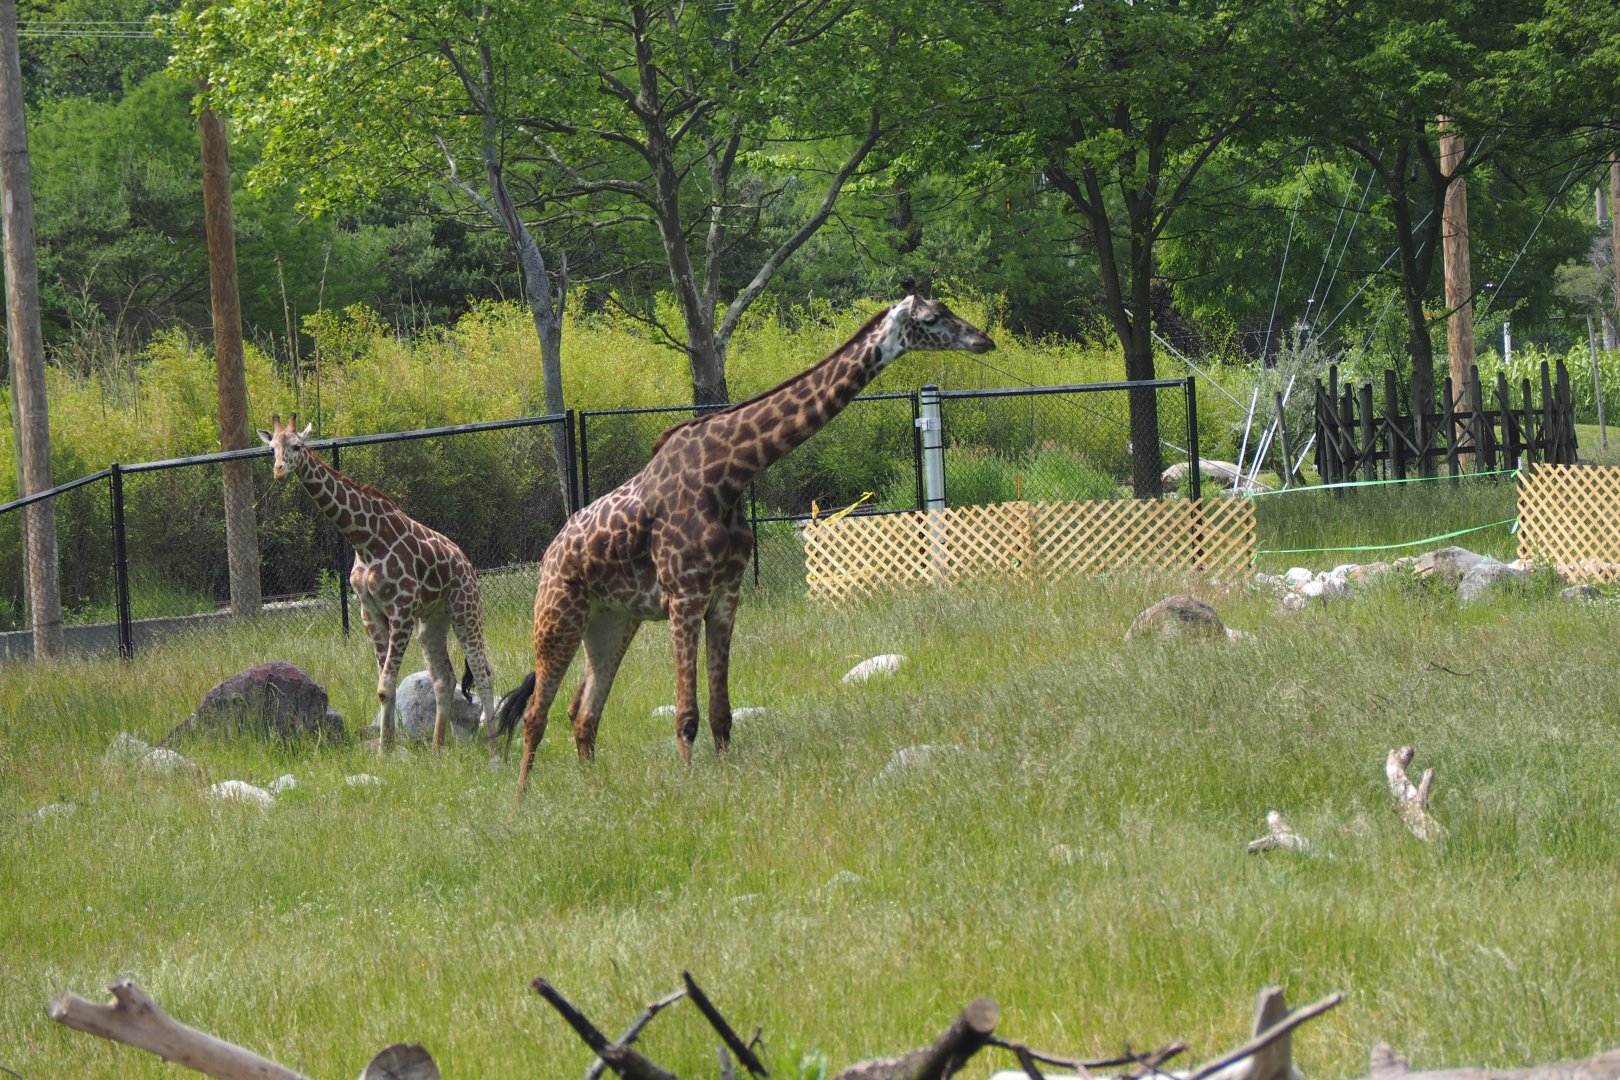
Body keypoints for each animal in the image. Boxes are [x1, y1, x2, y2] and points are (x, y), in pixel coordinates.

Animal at [256, 414, 499, 757]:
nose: (279, 470)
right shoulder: (369, 611)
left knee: (483, 673)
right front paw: (387, 750)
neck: (364, 540)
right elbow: (386, 687)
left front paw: (386, 750)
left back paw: (494, 752)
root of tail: (467, 564)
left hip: (466, 609)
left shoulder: (401, 609)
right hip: (432, 621)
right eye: (271, 448)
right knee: (444, 678)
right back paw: (437, 750)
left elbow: (386, 686)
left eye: (297, 446)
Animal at [497, 285, 995, 797]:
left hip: (612, 620)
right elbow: (686, 714)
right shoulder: (685, 595)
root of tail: (550, 553)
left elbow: (721, 713)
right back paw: (521, 800)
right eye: (932, 319)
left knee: (583, 712)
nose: (984, 340)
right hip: (558, 615)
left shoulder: (725, 593)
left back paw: (595, 790)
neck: (729, 474)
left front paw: (726, 780)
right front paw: (689, 789)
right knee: (535, 715)